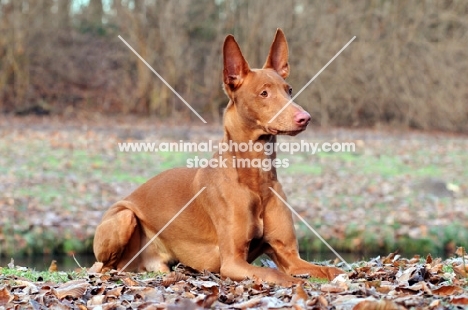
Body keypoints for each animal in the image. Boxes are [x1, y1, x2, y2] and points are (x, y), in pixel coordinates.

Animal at [94, 29, 344, 286]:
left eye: (289, 90)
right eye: (264, 93)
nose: (305, 118)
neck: (256, 178)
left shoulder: (289, 256)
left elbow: (330, 270)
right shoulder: (232, 261)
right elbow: (273, 273)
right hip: (124, 217)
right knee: (105, 267)